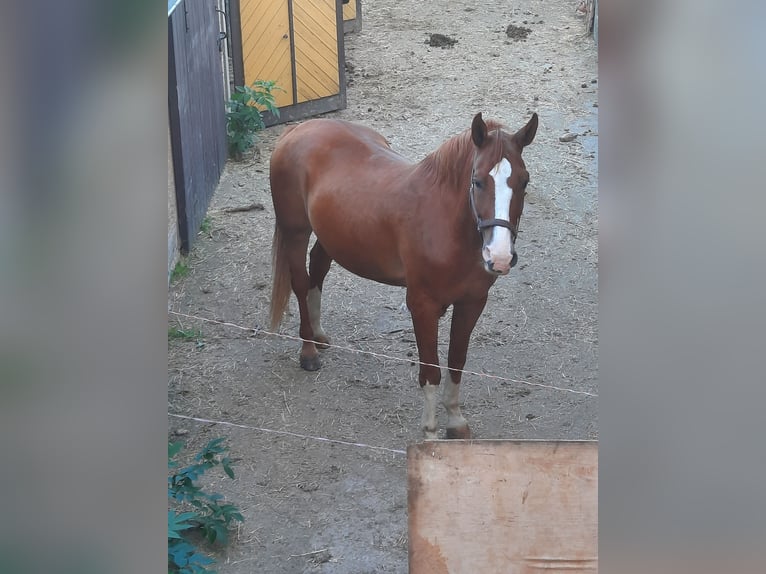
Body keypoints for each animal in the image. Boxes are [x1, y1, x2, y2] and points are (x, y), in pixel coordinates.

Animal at [270, 113, 540, 440]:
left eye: (524, 181)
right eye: (477, 181)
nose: (499, 257)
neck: (445, 226)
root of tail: (300, 128)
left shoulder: (472, 303)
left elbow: (457, 361)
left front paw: (455, 421)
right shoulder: (422, 307)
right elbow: (431, 370)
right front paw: (431, 433)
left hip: (333, 235)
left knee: (318, 268)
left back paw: (319, 334)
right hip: (295, 232)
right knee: (300, 281)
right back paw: (308, 350)